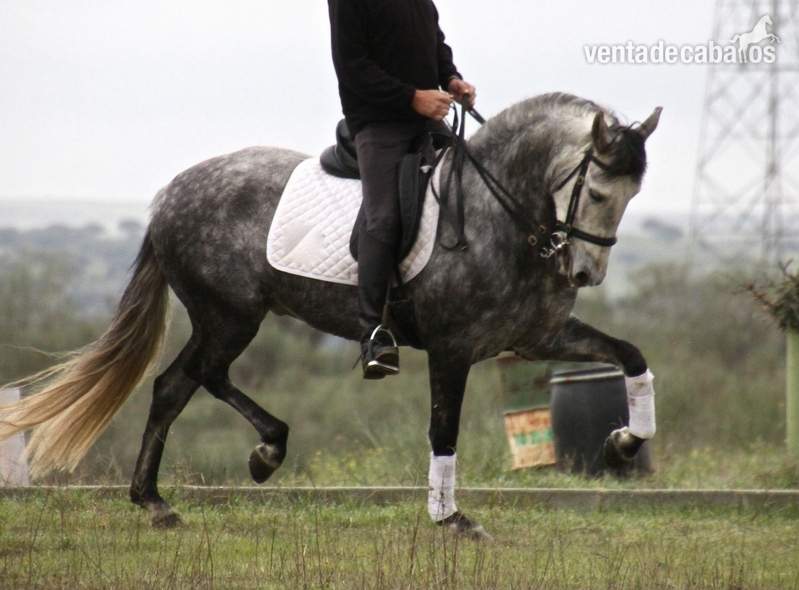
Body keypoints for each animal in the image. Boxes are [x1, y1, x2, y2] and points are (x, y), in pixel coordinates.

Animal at [0, 92, 660, 539]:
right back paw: (243, 462)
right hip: (230, 317)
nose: (584, 274)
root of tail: (170, 194)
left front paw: (624, 444)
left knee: (178, 385)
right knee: (192, 380)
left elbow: (631, 356)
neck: (499, 216)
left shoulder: (537, 337)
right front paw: (451, 519)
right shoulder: (452, 350)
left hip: (225, 318)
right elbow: (443, 431)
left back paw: (174, 494)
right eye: (597, 192)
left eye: (631, 196)